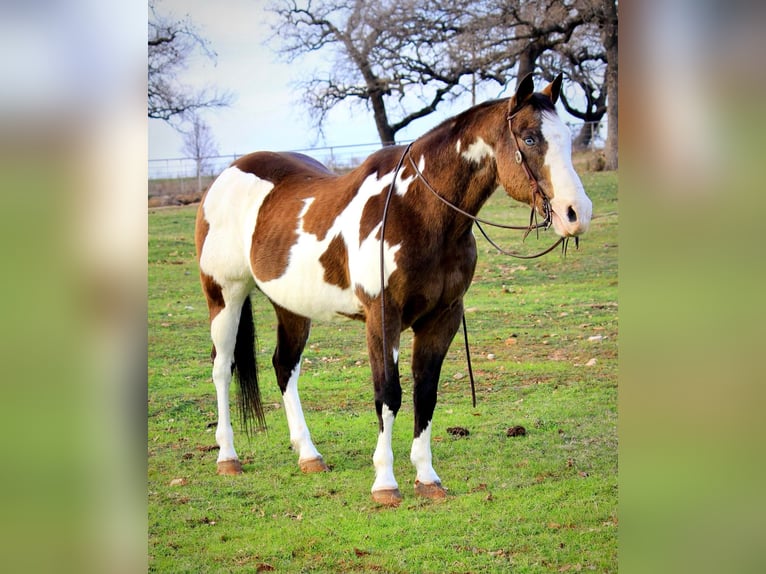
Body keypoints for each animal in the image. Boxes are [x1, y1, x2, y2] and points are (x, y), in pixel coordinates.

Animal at [194, 73, 592, 508]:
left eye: (566, 136)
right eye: (530, 138)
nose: (577, 213)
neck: (417, 211)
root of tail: (227, 175)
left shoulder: (441, 319)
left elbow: (425, 393)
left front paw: (427, 478)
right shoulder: (383, 319)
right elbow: (388, 394)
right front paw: (385, 482)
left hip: (291, 307)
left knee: (285, 367)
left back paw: (309, 455)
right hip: (224, 296)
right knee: (222, 368)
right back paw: (228, 457)